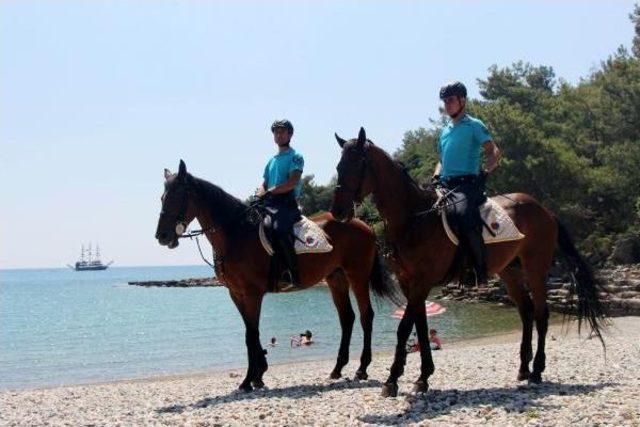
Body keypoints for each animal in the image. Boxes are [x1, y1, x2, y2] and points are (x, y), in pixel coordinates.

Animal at [154, 160, 398, 392]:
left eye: (177, 196)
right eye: (162, 197)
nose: (162, 236)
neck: (237, 234)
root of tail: (363, 224)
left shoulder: (252, 294)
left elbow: (251, 334)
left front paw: (249, 380)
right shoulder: (236, 294)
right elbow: (250, 333)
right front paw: (258, 375)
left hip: (357, 277)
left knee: (366, 316)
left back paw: (362, 368)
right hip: (336, 279)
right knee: (347, 318)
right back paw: (337, 369)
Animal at [330, 127, 604, 398]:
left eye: (356, 164)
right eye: (339, 166)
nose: (337, 211)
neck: (415, 219)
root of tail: (544, 210)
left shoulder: (422, 282)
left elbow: (405, 327)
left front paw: (393, 379)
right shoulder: (409, 283)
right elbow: (420, 326)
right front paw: (423, 377)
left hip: (535, 267)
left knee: (541, 313)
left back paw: (536, 371)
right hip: (510, 271)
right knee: (526, 312)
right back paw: (524, 369)